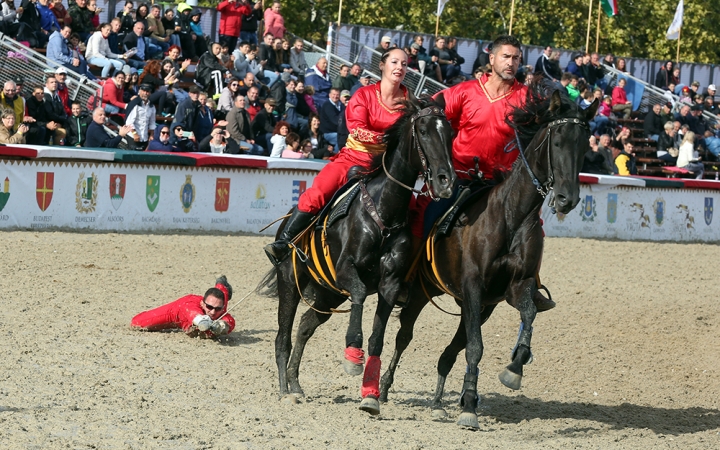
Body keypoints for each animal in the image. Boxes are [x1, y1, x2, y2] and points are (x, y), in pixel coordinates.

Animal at [264, 96, 456, 414]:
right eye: (424, 131)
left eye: (451, 134)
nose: (446, 181)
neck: (383, 212)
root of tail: (287, 222)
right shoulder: (346, 271)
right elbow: (359, 294)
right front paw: (353, 354)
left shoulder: (390, 284)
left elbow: (378, 338)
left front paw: (371, 395)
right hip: (290, 282)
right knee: (283, 336)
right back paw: (283, 390)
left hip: (328, 294)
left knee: (304, 327)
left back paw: (295, 384)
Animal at [376, 83, 596, 428]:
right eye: (558, 140)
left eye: (585, 144)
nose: (567, 199)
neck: (509, 215)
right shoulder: (473, 287)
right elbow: (475, 348)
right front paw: (469, 407)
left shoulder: (511, 290)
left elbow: (527, 317)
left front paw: (513, 369)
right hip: (424, 293)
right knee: (404, 336)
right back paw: (384, 387)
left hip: (475, 307)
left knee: (450, 351)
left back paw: (438, 401)